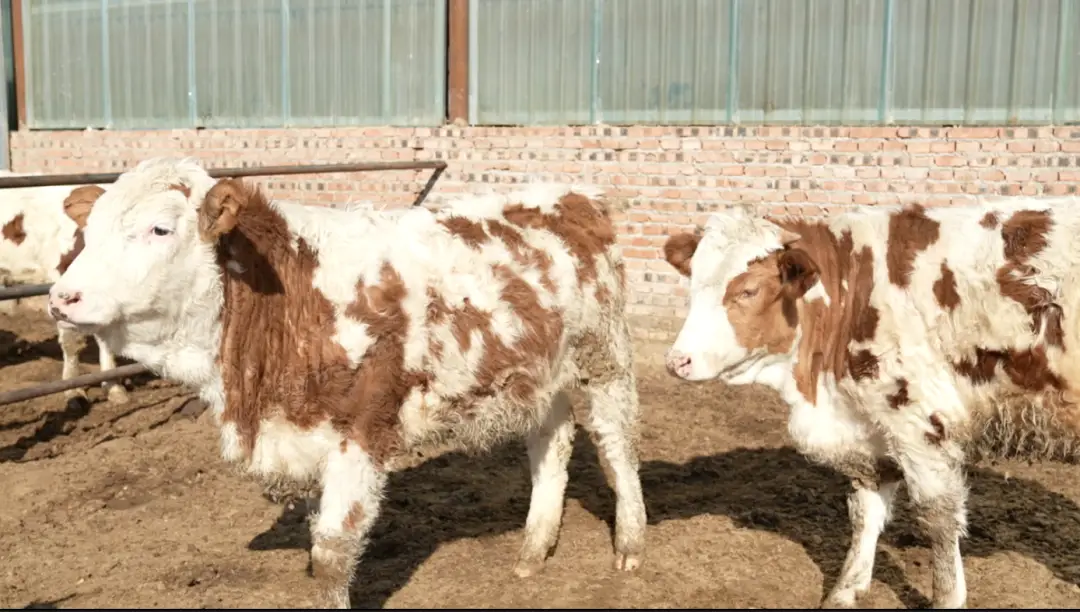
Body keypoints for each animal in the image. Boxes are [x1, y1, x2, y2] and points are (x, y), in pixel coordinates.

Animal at [46, 157, 643, 608]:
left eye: (160, 229)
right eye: (89, 232)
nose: (61, 296)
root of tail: (572, 195)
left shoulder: (360, 431)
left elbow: (332, 552)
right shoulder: (303, 435)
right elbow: (316, 546)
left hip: (605, 358)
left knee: (617, 447)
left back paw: (630, 544)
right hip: (540, 375)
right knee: (552, 443)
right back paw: (533, 550)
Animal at [660, 199, 1080, 608]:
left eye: (748, 290)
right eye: (693, 283)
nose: (678, 361)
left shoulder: (918, 420)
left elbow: (938, 518)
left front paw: (946, 597)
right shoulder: (870, 427)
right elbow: (865, 511)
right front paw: (846, 589)